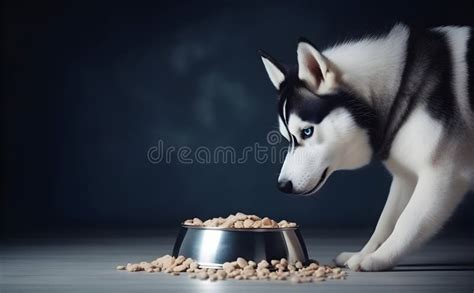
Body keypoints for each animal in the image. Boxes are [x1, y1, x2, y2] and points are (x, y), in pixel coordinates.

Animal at [262, 23, 472, 272]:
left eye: (307, 132)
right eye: (287, 138)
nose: (283, 186)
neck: (400, 82)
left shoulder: (442, 175)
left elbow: (407, 221)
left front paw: (378, 258)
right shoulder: (406, 177)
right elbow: (385, 222)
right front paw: (365, 253)